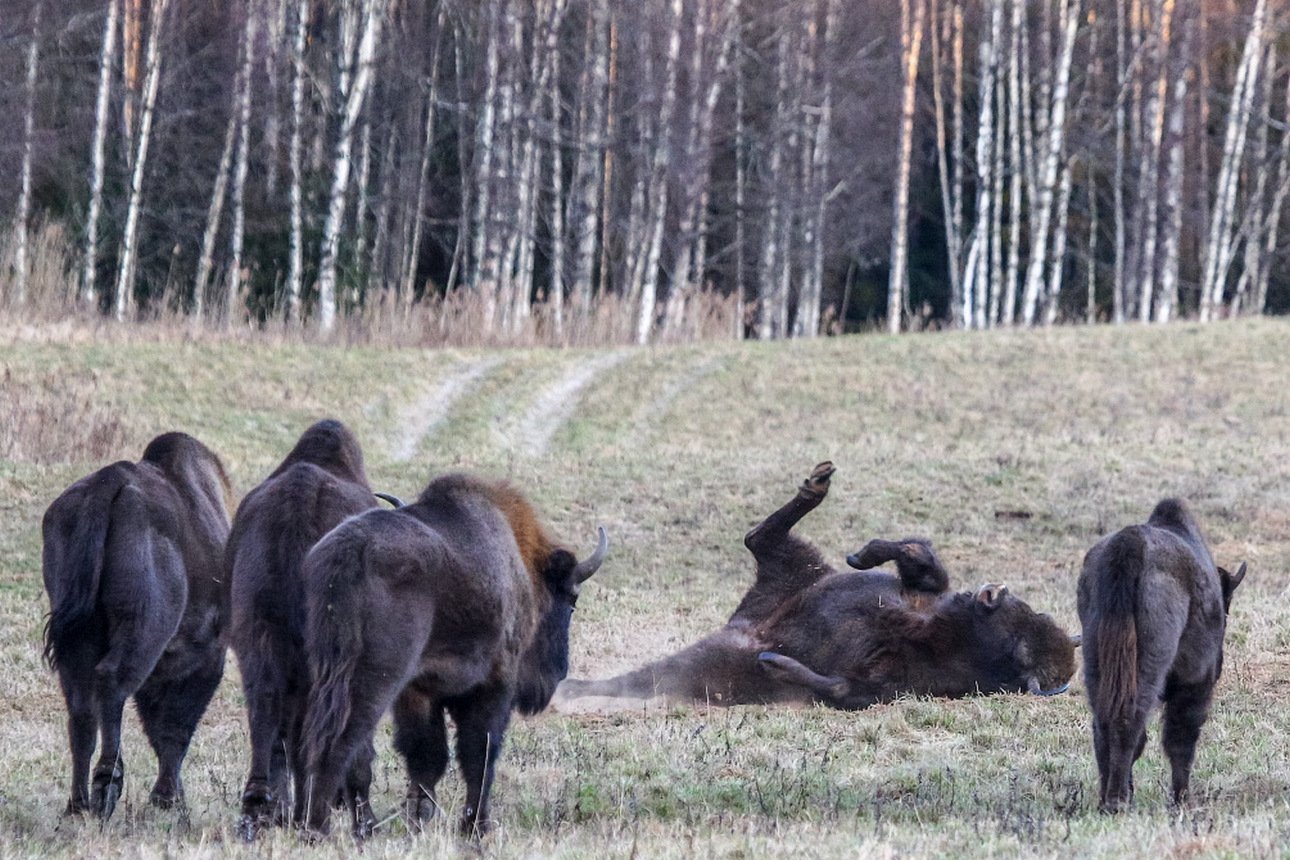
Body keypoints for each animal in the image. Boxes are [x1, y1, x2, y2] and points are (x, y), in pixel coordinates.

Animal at [42, 433, 233, 820]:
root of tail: (109, 482)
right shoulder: (204, 659)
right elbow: (174, 731)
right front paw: (169, 800)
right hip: (143, 631)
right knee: (111, 683)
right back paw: (106, 786)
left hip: (78, 636)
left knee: (81, 710)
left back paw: (77, 804)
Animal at [301, 471, 608, 835]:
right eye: (571, 601)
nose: (557, 674)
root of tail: (351, 552)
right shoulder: (493, 683)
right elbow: (480, 753)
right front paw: (475, 825)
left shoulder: (418, 692)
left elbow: (427, 756)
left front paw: (420, 816)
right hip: (374, 681)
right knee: (342, 743)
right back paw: (338, 828)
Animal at [554, 464, 1078, 711]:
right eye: (1040, 614)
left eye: (1020, 651)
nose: (991, 593)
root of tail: (745, 625)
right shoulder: (922, 592)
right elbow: (918, 558)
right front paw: (863, 555)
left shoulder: (891, 682)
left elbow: (840, 686)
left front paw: (777, 663)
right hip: (793, 574)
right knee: (759, 537)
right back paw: (817, 483)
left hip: (705, 661)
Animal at [1078, 497, 1248, 814]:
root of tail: (1130, 543)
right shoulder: (1195, 683)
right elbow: (1181, 739)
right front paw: (1181, 800)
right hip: (1149, 664)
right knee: (1130, 721)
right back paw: (1118, 800)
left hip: (1096, 662)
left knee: (1103, 724)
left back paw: (1107, 799)